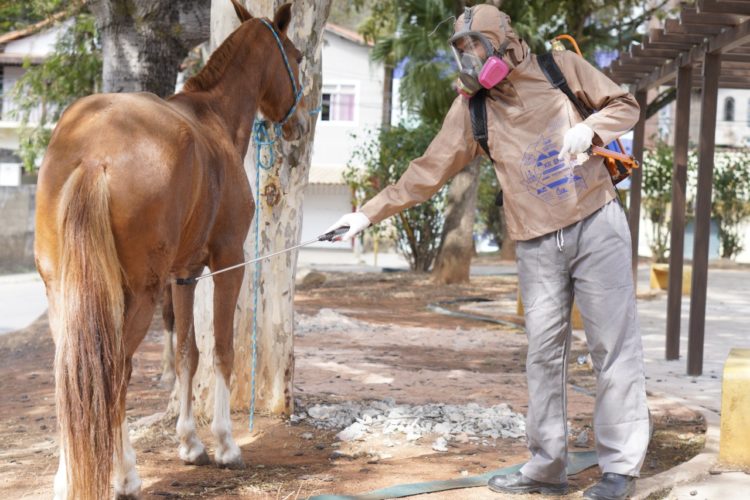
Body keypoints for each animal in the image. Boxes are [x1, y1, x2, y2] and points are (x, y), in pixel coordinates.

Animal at [33, 1, 310, 498]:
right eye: (296, 57)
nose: (299, 124)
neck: (213, 118)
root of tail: (94, 151)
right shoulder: (228, 262)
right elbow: (221, 350)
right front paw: (225, 445)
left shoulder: (185, 274)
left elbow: (187, 353)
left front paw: (190, 444)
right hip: (137, 296)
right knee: (114, 372)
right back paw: (124, 474)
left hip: (62, 294)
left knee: (72, 374)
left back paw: (67, 476)